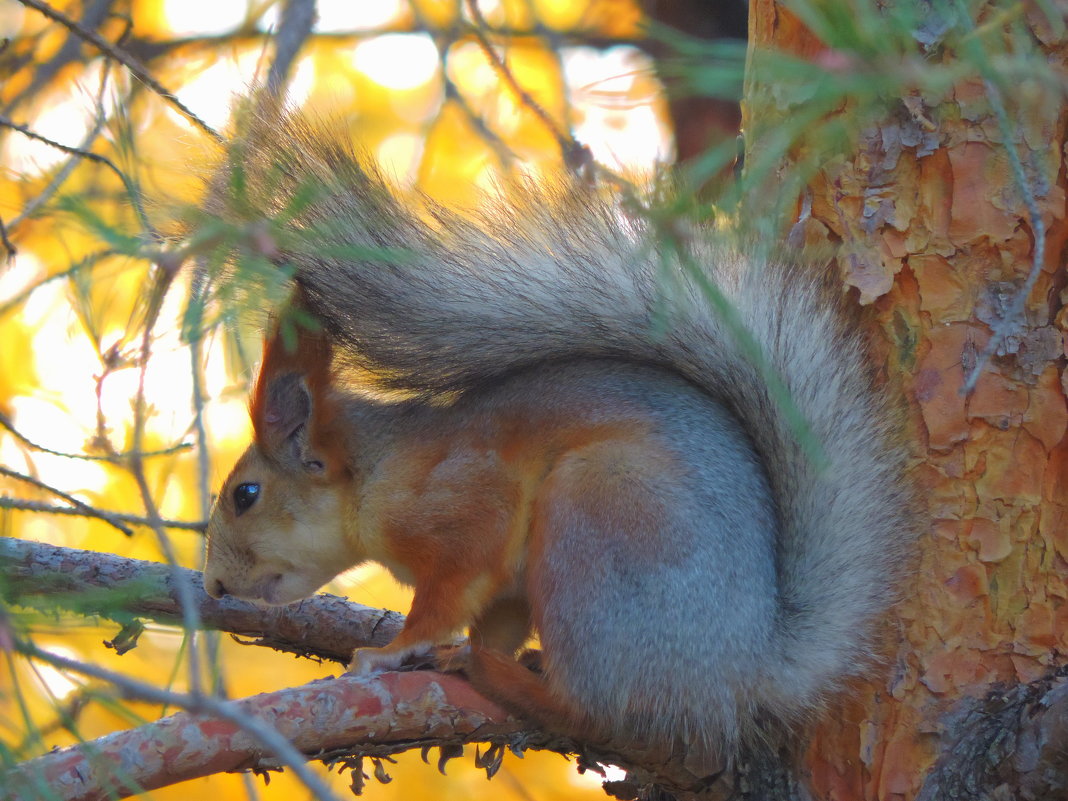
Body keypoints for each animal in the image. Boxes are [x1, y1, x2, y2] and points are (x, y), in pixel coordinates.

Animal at [201, 108, 918, 773]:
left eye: (245, 494)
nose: (212, 586)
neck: (371, 472)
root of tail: (740, 671)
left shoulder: (467, 506)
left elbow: (446, 592)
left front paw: (395, 649)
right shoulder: (506, 587)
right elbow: (493, 616)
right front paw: (460, 649)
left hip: (592, 516)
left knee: (597, 709)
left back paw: (506, 679)